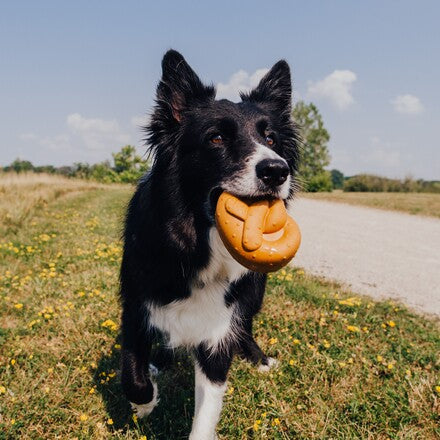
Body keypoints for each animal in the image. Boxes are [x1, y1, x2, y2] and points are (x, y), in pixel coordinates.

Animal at [118, 49, 300, 438]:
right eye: (216, 138)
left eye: (272, 139)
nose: (277, 170)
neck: (199, 245)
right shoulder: (135, 304)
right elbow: (131, 374)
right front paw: (145, 403)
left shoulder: (218, 332)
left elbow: (206, 410)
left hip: (255, 290)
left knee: (246, 325)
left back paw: (260, 358)